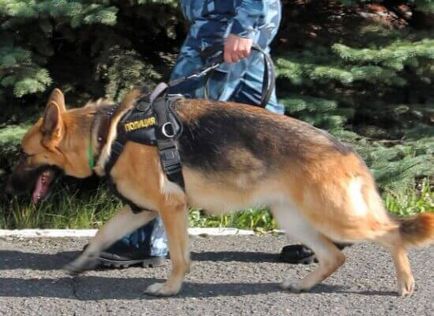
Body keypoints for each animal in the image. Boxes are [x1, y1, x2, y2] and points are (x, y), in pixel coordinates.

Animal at [7, 88, 434, 296]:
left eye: (23, 155)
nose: (9, 188)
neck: (107, 133)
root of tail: (349, 151)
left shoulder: (171, 208)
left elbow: (180, 258)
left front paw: (170, 289)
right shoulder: (139, 211)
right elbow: (100, 235)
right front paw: (81, 263)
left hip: (337, 218)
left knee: (392, 234)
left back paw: (404, 283)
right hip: (295, 220)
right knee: (335, 257)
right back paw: (303, 284)